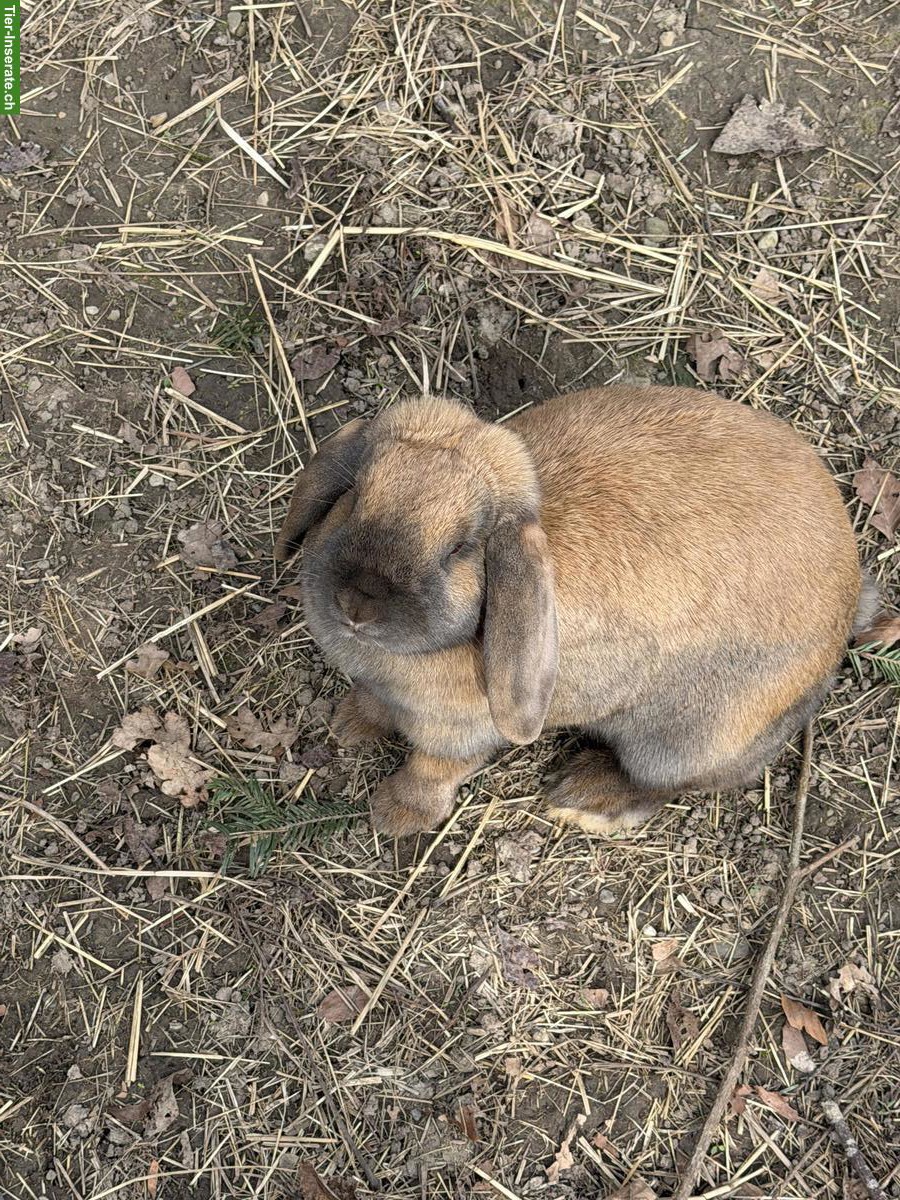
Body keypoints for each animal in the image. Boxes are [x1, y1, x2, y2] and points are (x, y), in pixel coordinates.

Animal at [275, 386, 872, 837]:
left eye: (459, 549)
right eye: (355, 496)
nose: (357, 604)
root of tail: (845, 618)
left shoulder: (459, 732)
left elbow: (432, 770)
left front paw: (395, 816)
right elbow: (373, 703)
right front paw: (347, 725)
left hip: (682, 740)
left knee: (667, 786)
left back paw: (580, 797)